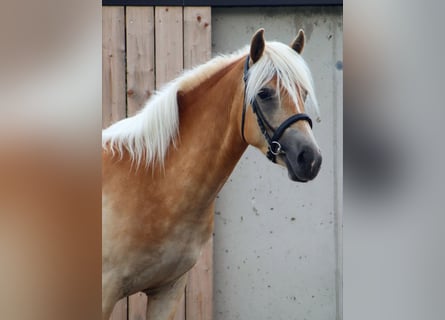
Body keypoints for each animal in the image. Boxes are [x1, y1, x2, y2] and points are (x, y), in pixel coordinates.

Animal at [102, 28, 320, 320]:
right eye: (264, 93)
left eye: (303, 93)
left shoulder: (167, 290)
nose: (310, 159)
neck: (151, 182)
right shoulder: (105, 292)